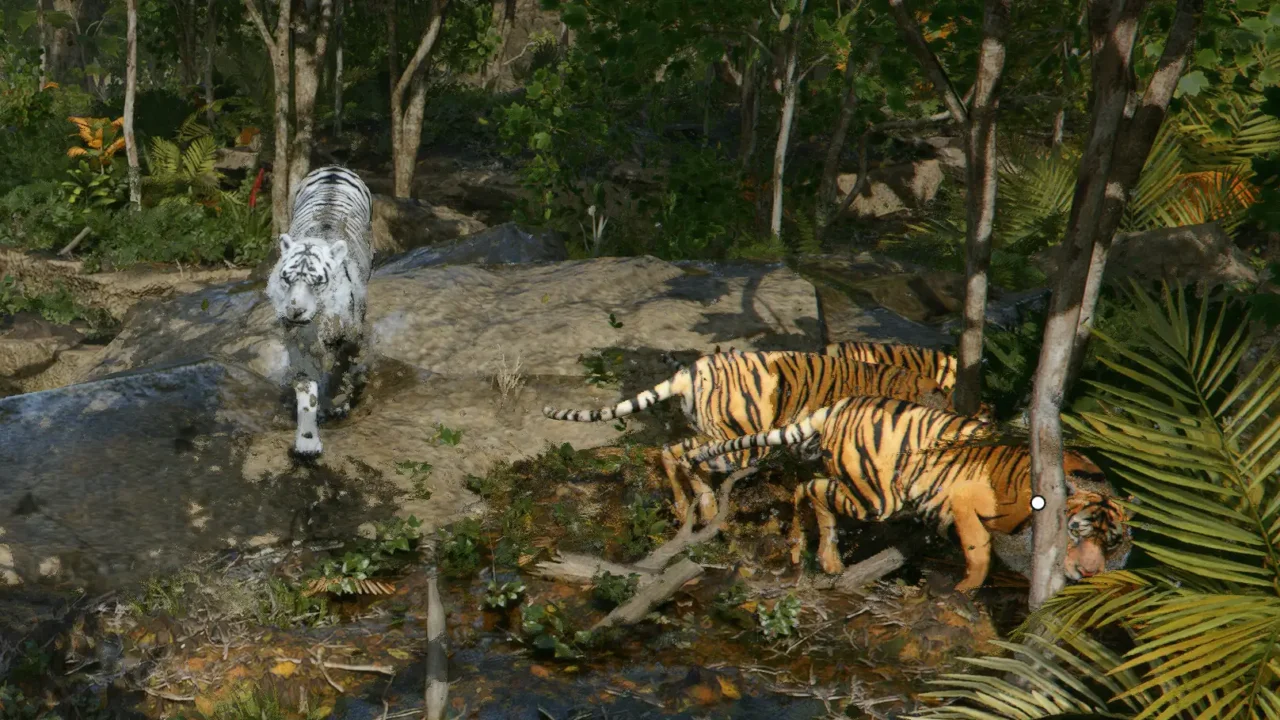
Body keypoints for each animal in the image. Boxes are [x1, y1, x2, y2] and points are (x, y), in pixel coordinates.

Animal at [265, 166, 374, 457]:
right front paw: (307, 441)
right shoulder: (298, 344)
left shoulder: (349, 337)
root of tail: (335, 168)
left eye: (316, 282)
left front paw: (336, 402)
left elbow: (340, 368)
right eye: (287, 279)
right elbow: (306, 390)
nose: (295, 311)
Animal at [543, 348, 966, 524]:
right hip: (734, 439)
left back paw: (687, 507)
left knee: (671, 451)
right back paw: (706, 508)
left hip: (712, 433)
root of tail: (690, 371)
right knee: (687, 456)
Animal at [688, 395, 1130, 592]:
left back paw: (803, 549)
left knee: (801, 488)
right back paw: (828, 558)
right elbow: (979, 551)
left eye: (1110, 543)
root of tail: (840, 404)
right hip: (874, 497)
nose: (1091, 571)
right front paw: (965, 590)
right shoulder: (966, 500)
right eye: (1075, 531)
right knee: (812, 488)